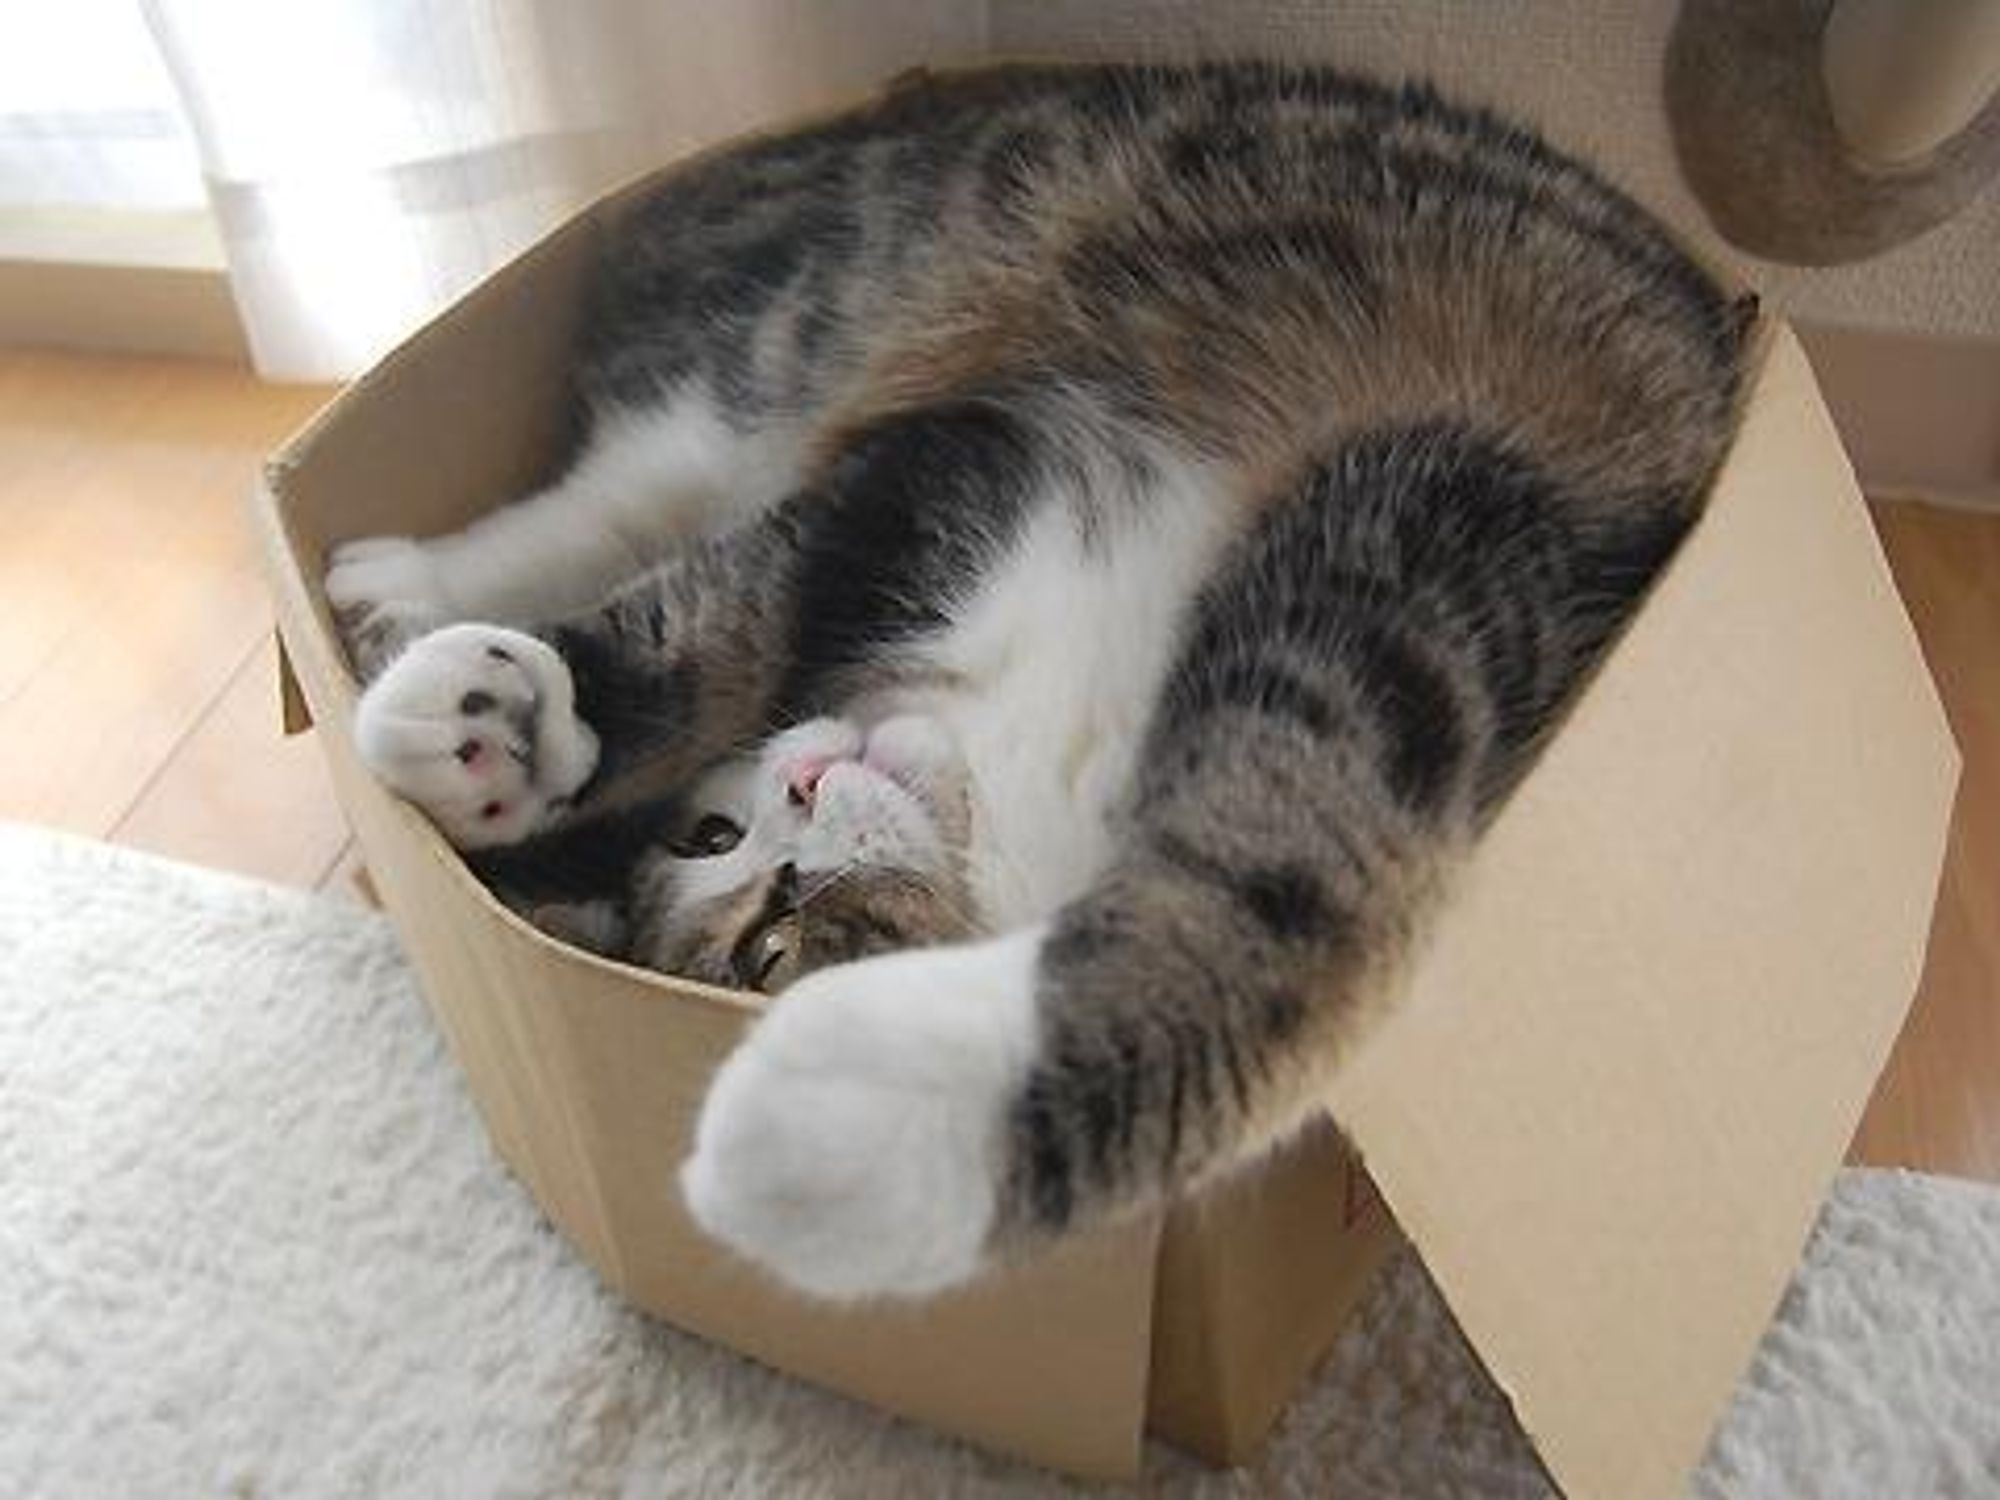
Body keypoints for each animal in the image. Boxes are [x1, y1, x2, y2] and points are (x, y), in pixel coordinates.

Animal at [324, 61, 1752, 1304]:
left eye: (736, 861)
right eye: (754, 923)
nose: (805, 774)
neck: (1007, 749)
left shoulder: (1032, 475)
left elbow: (732, 615)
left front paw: (901, 1113)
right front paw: (490, 738)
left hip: (846, 307)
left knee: (652, 478)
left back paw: (402, 611)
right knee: (617, 492)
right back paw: (391, 597)